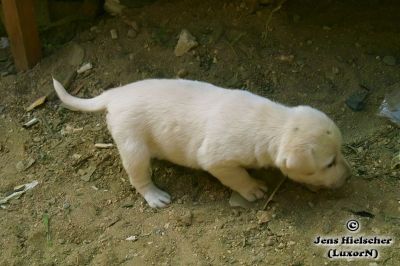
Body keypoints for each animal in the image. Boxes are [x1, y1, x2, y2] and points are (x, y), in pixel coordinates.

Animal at [52, 78, 350, 207]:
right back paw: (155, 196)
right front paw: (253, 188)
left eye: (340, 152)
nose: (348, 176)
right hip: (132, 145)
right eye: (329, 163)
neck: (273, 123)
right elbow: (238, 176)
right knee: (139, 177)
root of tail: (115, 94)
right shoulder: (218, 161)